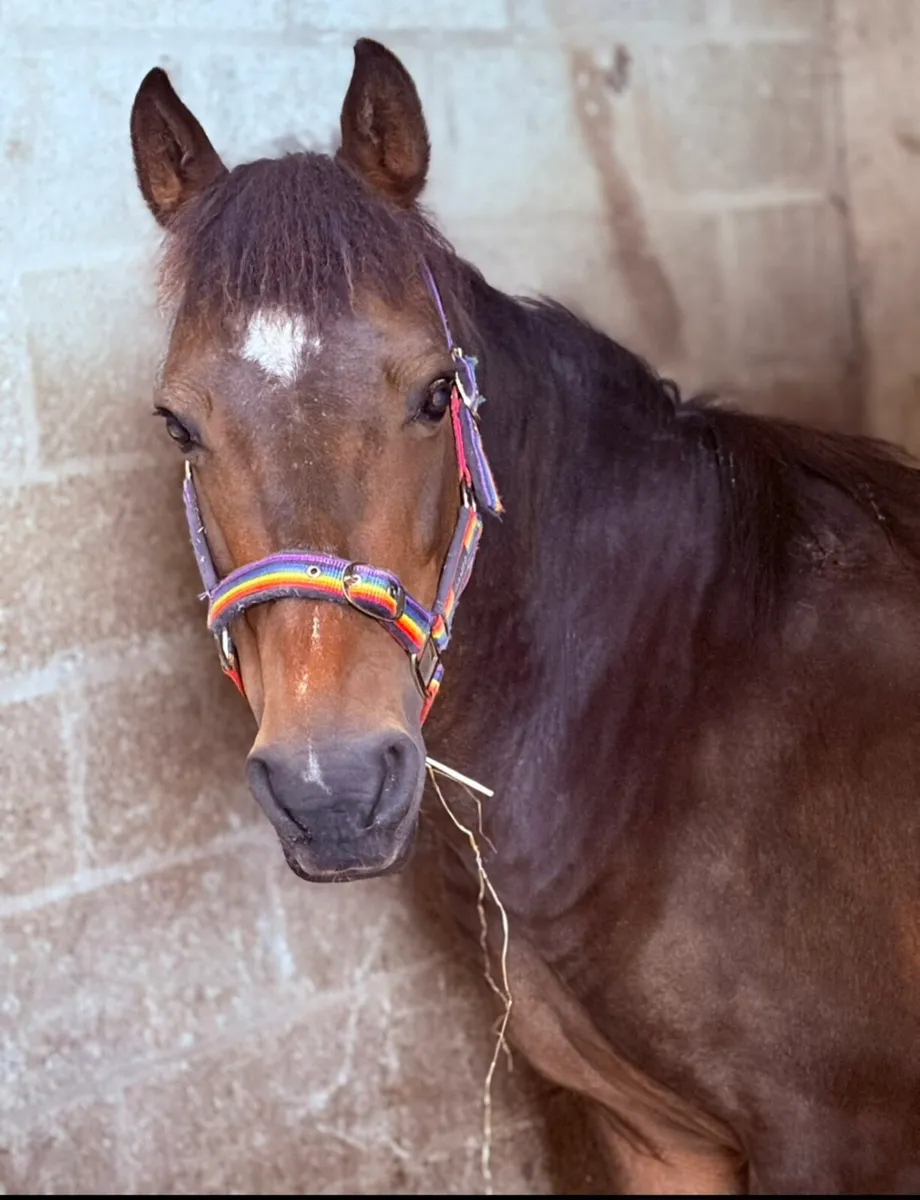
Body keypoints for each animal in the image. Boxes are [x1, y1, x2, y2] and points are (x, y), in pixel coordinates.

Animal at [129, 38, 920, 1194]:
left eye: (433, 394)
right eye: (178, 424)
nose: (331, 789)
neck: (682, 705)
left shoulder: (838, 1142)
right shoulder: (654, 1136)